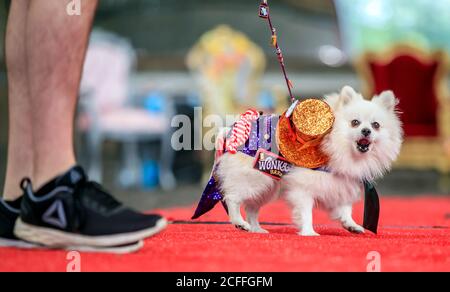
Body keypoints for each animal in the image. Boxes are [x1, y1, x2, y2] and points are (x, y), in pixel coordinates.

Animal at [216, 86, 402, 235]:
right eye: (355, 123)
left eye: (376, 125)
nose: (366, 131)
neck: (334, 146)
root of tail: (231, 131)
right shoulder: (302, 187)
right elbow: (306, 213)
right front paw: (309, 232)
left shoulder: (340, 183)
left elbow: (345, 208)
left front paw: (351, 224)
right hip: (255, 178)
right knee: (232, 197)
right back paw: (239, 222)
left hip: (268, 185)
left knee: (251, 207)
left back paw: (256, 229)